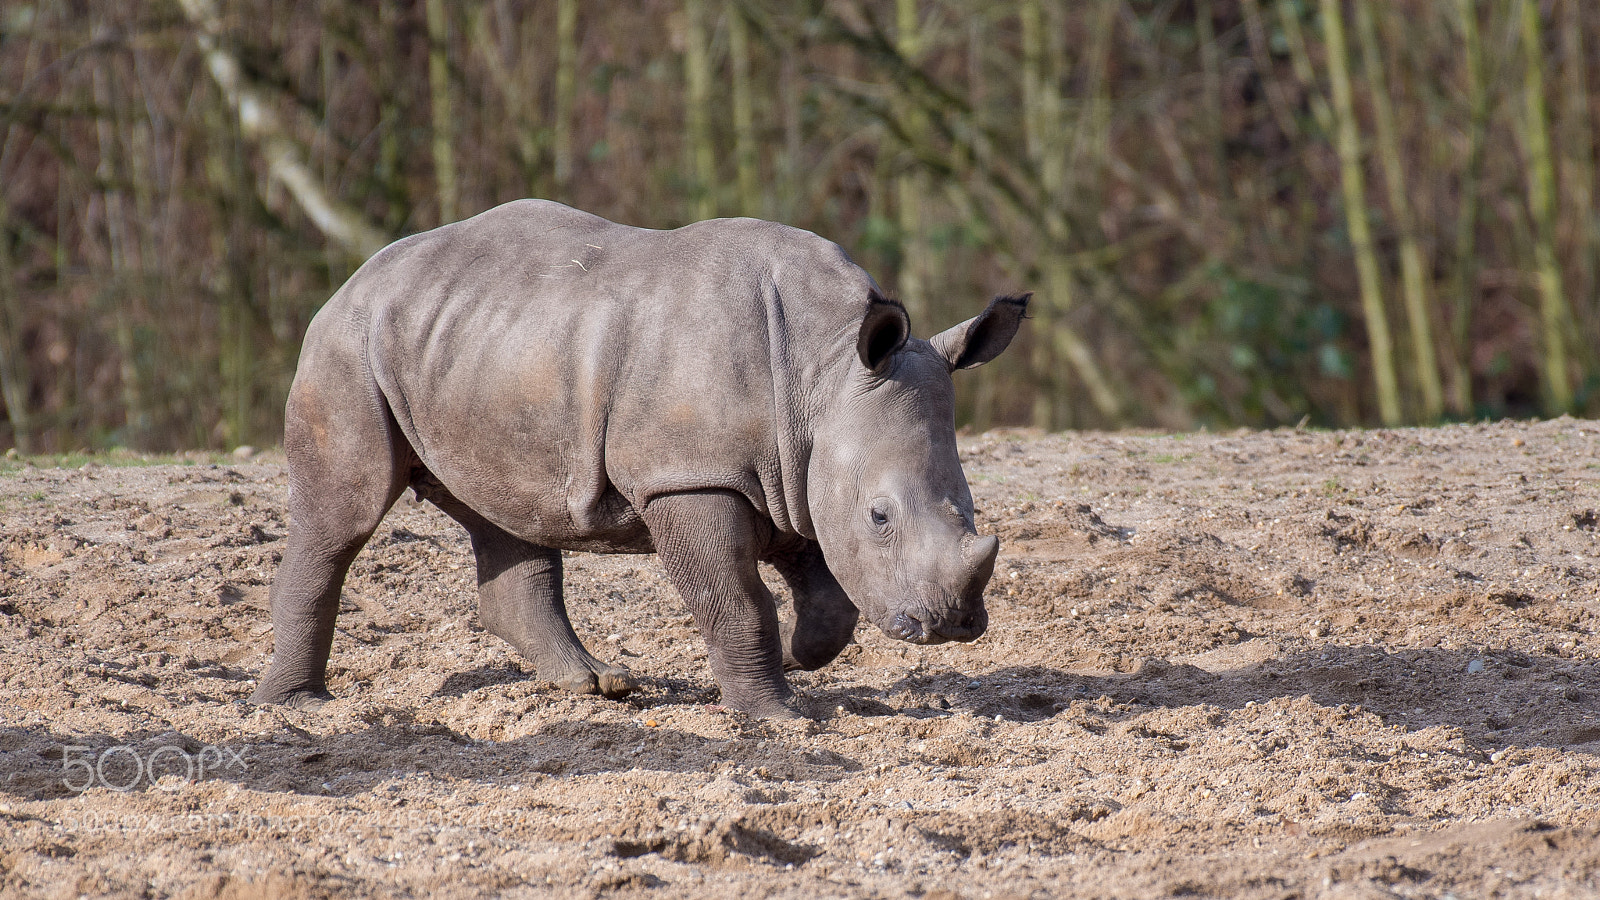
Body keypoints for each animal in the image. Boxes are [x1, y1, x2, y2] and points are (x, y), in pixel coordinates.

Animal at [251, 200, 1028, 718]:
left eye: (968, 503)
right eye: (880, 516)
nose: (951, 624)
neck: (826, 367)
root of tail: (358, 275)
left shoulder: (792, 470)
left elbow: (826, 590)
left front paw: (802, 657)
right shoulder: (688, 477)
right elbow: (736, 598)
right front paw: (776, 715)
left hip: (481, 344)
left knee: (508, 514)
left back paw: (597, 686)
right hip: (348, 346)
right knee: (343, 516)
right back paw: (300, 707)